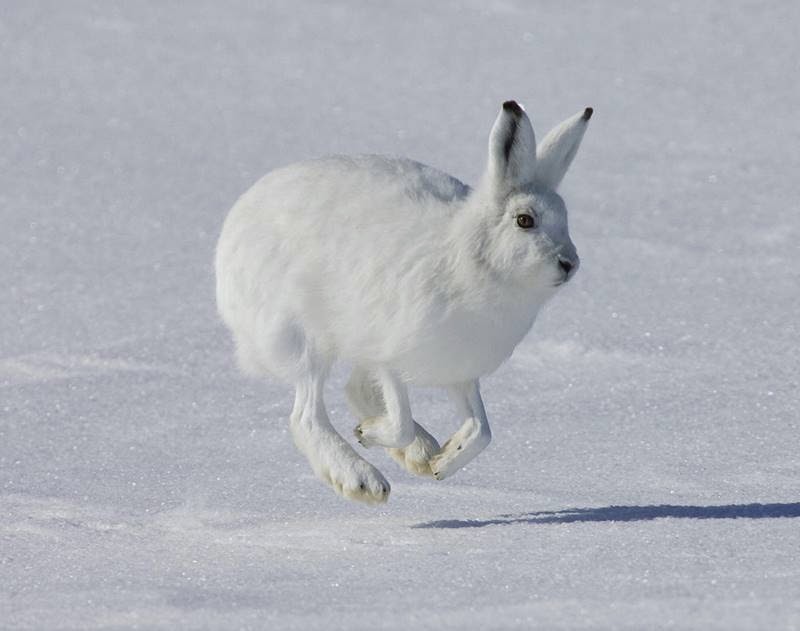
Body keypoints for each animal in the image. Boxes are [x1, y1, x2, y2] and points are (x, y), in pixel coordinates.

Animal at [215, 100, 591, 504]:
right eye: (524, 220)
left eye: (565, 219)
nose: (569, 263)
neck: (472, 260)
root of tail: (232, 233)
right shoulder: (389, 355)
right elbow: (401, 423)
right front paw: (369, 436)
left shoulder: (460, 371)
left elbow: (482, 430)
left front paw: (442, 462)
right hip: (305, 338)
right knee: (307, 416)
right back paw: (362, 480)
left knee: (354, 391)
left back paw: (422, 453)